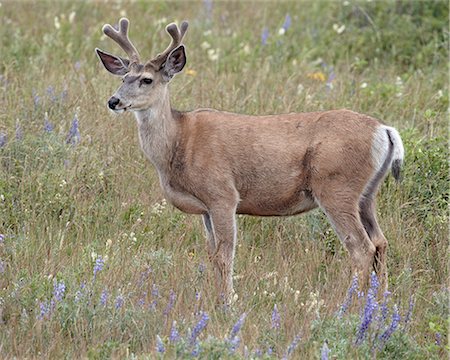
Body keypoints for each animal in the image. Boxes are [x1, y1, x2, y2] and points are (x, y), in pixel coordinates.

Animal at [96, 18, 404, 302]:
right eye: (123, 78)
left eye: (147, 79)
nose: (113, 101)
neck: (178, 143)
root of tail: (384, 129)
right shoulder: (206, 208)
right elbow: (212, 254)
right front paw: (215, 298)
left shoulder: (222, 194)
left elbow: (224, 254)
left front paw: (228, 302)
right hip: (366, 194)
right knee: (380, 241)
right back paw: (380, 301)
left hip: (337, 187)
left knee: (361, 247)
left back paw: (351, 303)